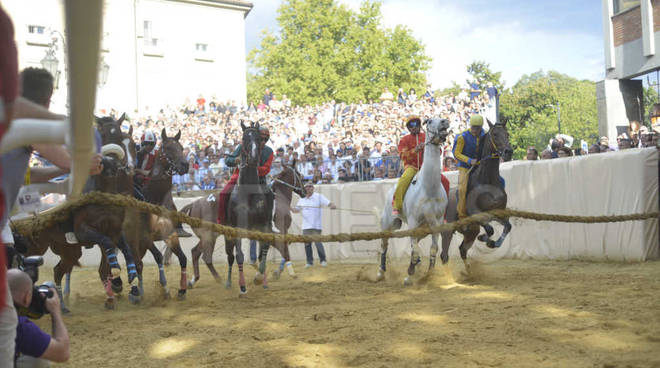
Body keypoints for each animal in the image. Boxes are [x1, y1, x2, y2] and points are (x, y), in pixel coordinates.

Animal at [378, 117, 452, 284]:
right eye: (430, 121)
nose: (444, 121)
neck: (428, 188)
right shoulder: (413, 221)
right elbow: (416, 250)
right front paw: (409, 274)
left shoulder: (436, 222)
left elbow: (433, 249)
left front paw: (429, 273)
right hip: (389, 224)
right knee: (384, 244)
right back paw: (381, 272)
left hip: (422, 228)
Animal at [440, 119, 512, 272]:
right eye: (495, 134)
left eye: (507, 134)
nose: (508, 152)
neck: (487, 181)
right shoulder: (476, 214)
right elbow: (490, 229)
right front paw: (485, 239)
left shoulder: (498, 212)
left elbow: (507, 227)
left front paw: (492, 243)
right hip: (448, 230)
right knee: (444, 255)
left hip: (471, 231)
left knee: (462, 249)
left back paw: (468, 271)